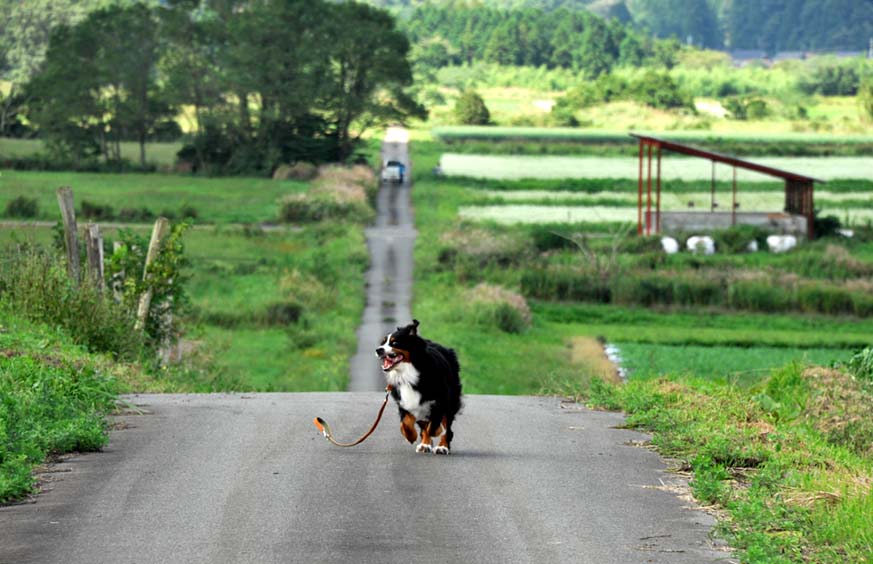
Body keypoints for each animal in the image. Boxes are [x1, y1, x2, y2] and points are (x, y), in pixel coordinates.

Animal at [376, 320, 464, 456]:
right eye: (382, 343)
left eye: (395, 343)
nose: (378, 350)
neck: (408, 373)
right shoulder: (405, 401)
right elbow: (405, 423)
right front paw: (411, 436)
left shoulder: (441, 399)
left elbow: (434, 423)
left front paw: (437, 431)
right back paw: (424, 445)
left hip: (451, 399)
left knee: (447, 426)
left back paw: (442, 447)